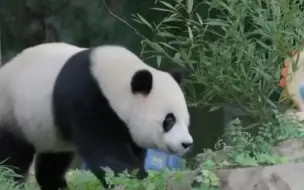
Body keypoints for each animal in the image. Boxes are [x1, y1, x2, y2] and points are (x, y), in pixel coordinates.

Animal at [0, 42, 192, 189]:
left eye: (186, 121)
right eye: (169, 120)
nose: (186, 144)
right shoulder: (88, 100)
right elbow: (108, 155)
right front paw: (137, 181)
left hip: (52, 132)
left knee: (52, 164)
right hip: (13, 112)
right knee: (12, 157)